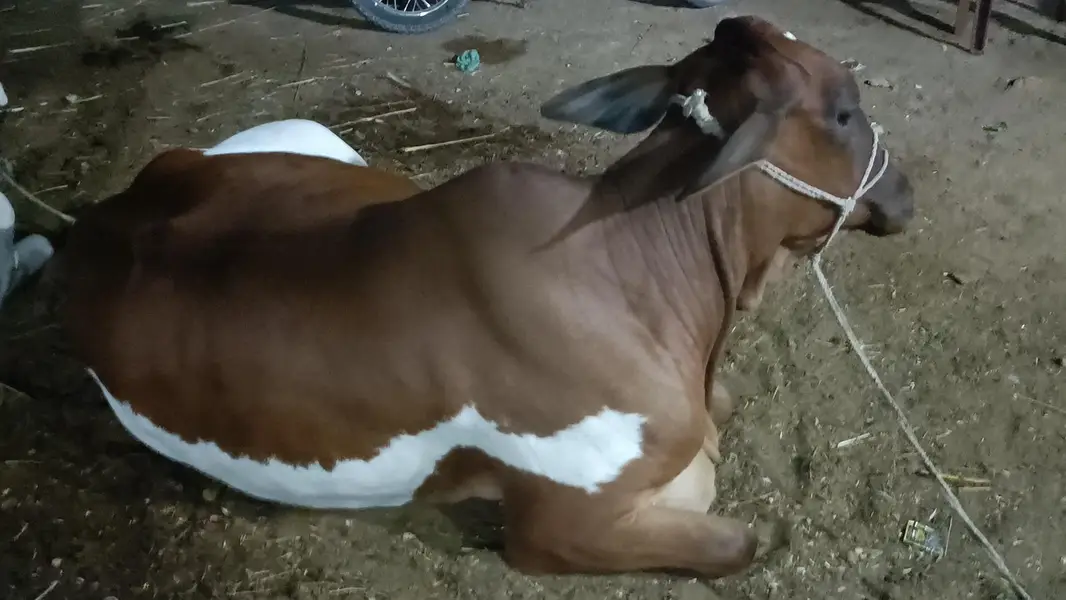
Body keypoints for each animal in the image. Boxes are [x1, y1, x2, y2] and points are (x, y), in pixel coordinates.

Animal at [60, 16, 914, 579]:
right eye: (843, 112)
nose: (903, 191)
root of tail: (103, 216)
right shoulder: (560, 525)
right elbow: (743, 542)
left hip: (314, 144)